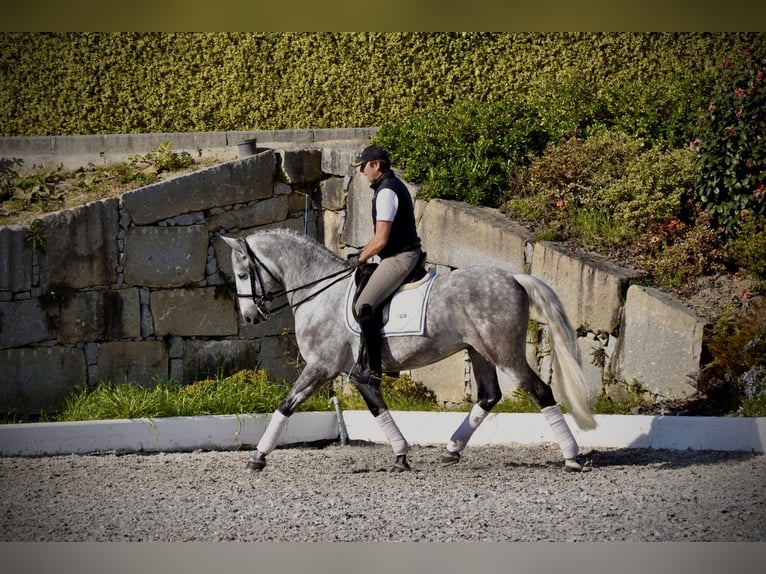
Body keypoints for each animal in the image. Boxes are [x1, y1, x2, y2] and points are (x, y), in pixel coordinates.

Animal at [222, 228, 596, 473]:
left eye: (241, 273)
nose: (249, 317)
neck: (320, 291)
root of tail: (516, 278)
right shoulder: (354, 374)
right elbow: (377, 409)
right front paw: (401, 455)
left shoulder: (321, 366)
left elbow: (286, 404)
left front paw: (258, 456)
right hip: (479, 350)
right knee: (489, 396)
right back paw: (452, 449)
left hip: (504, 352)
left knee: (540, 391)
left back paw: (571, 457)